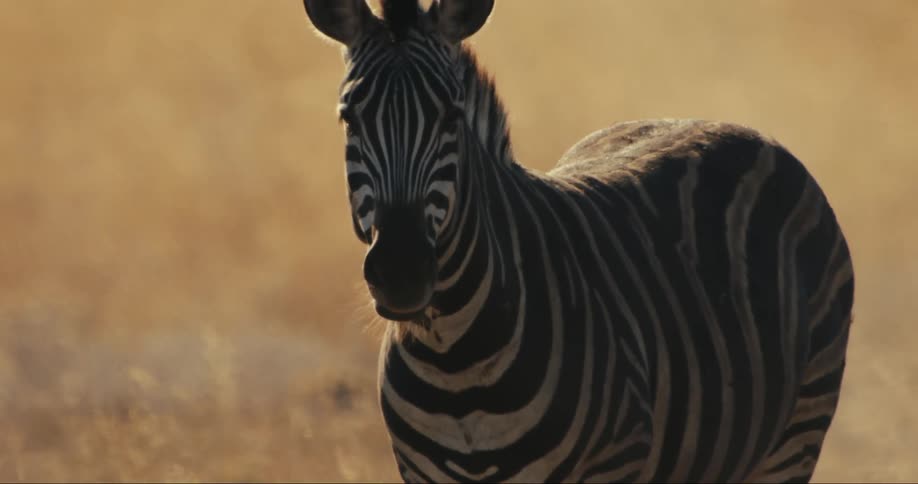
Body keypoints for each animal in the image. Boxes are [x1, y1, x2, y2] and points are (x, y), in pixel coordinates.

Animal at [302, 0, 855, 482]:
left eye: (452, 116)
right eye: (349, 118)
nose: (401, 272)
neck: (456, 361)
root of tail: (726, 123)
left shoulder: (614, 463)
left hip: (798, 430)